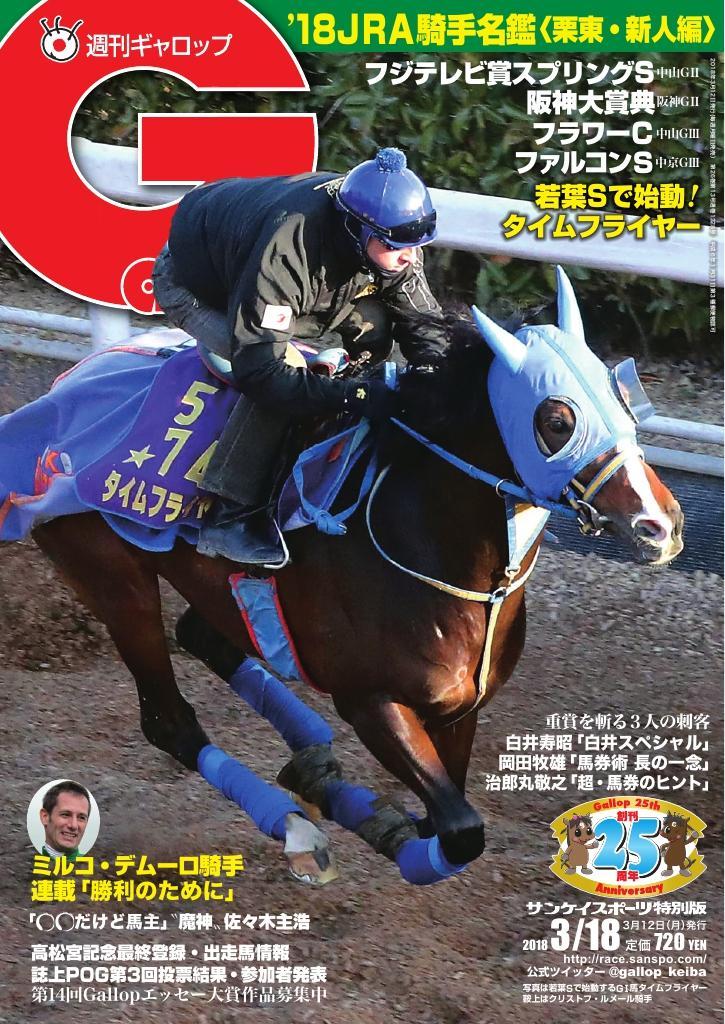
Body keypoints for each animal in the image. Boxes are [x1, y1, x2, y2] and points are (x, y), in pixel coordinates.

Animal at [1, 268, 684, 884]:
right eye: (557, 421)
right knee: (169, 719)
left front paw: (346, 797)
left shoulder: (459, 709)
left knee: (201, 633)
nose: (661, 524)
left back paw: (311, 763)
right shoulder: (371, 701)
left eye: (619, 392)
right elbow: (459, 832)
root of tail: (62, 386)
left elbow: (448, 816)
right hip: (114, 577)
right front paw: (379, 829)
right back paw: (295, 826)